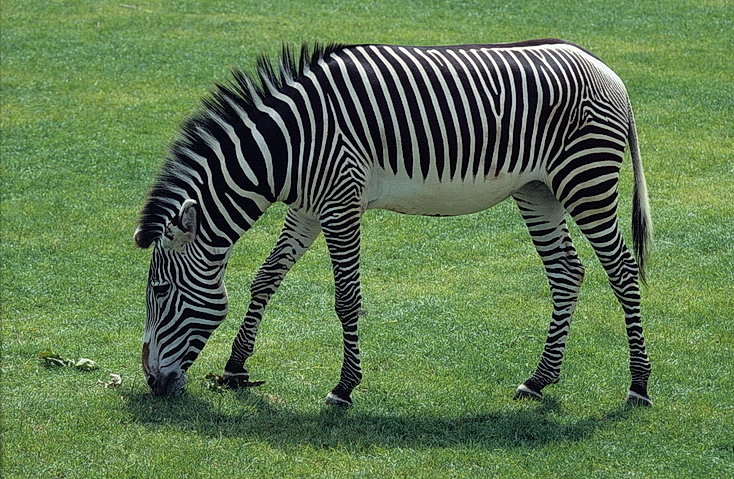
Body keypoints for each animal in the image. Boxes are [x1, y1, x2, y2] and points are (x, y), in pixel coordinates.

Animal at [137, 39, 656, 408]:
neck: (289, 143)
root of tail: (606, 70)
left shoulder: (341, 201)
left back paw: (639, 384)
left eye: (159, 291)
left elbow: (347, 299)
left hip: (585, 180)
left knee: (622, 272)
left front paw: (344, 387)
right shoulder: (308, 206)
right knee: (567, 272)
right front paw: (235, 367)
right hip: (538, 190)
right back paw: (539, 380)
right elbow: (266, 278)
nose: (152, 381)